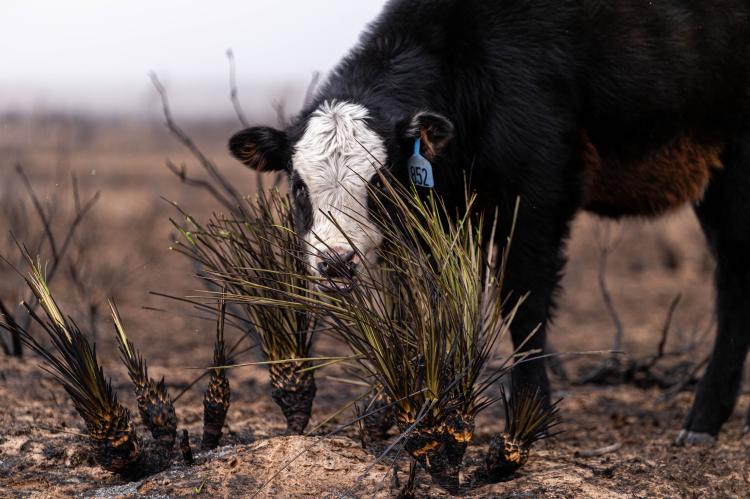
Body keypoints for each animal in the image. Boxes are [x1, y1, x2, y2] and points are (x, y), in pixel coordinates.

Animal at [228, 0, 750, 445]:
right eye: (298, 185)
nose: (335, 262)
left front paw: (530, 414)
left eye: (380, 182)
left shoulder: (537, 201)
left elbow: (523, 303)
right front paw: (401, 406)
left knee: (733, 286)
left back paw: (702, 421)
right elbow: (420, 305)